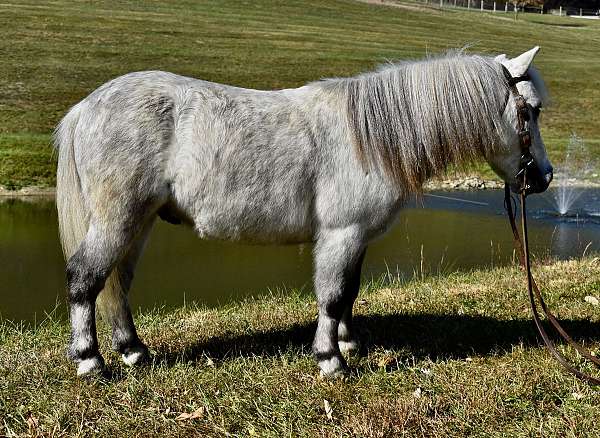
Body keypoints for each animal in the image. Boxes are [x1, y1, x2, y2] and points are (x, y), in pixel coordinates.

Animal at [56, 47, 552, 376]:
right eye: (531, 111)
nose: (542, 178)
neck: (370, 137)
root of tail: (85, 108)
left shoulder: (355, 237)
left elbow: (350, 291)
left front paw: (349, 343)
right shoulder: (341, 233)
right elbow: (331, 295)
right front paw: (330, 360)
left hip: (137, 223)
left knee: (117, 284)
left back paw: (133, 351)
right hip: (118, 219)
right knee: (85, 278)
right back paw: (90, 361)